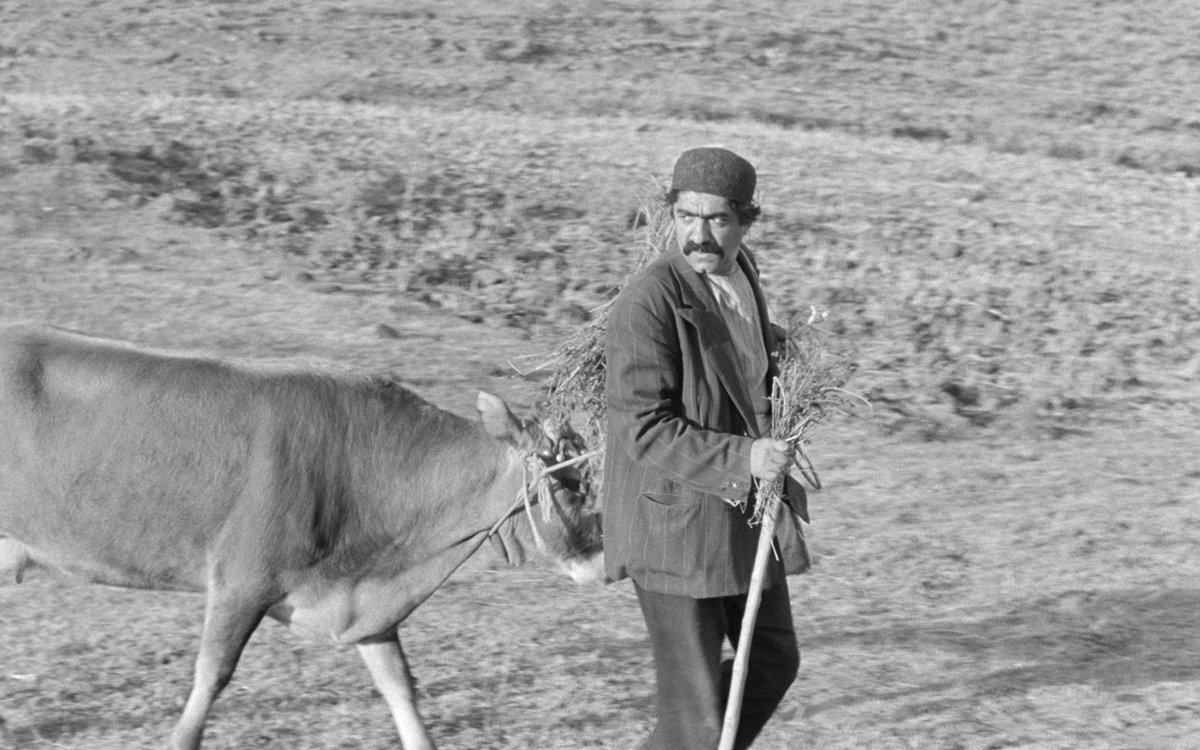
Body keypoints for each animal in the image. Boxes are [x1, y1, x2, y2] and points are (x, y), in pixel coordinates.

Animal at [0, 323, 606, 750]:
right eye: (567, 480)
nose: (603, 555)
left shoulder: (367, 602)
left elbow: (399, 684)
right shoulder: (241, 581)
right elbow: (210, 678)